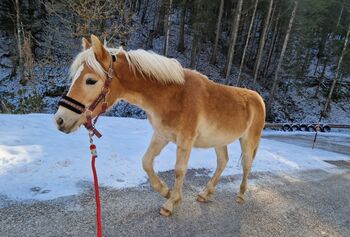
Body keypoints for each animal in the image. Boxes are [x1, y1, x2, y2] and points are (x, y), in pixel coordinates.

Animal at [54, 34, 266, 216]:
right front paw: (166, 192)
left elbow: (179, 170)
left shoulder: (185, 141)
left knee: (247, 165)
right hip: (219, 141)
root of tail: (258, 98)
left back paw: (241, 195)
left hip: (248, 140)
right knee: (222, 162)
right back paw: (205, 194)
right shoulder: (161, 136)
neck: (174, 95)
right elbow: (146, 162)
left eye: (91, 80)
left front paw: (170, 203)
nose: (60, 120)